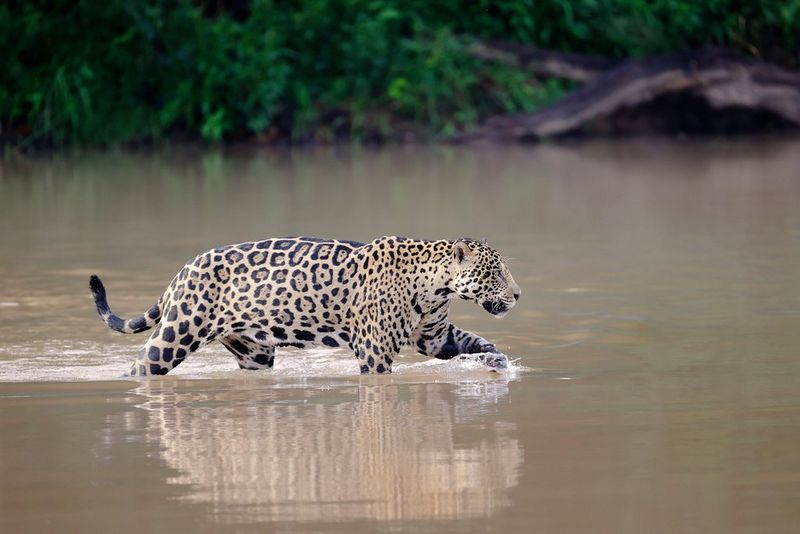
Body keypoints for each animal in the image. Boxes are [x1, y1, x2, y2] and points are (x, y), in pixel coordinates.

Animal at [89, 236, 521, 376]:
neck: (437, 287)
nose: (518, 295)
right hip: (176, 334)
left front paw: (496, 359)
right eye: (497, 272)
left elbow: (470, 341)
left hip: (255, 353)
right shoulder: (375, 355)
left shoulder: (434, 336)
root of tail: (181, 271)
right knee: (141, 366)